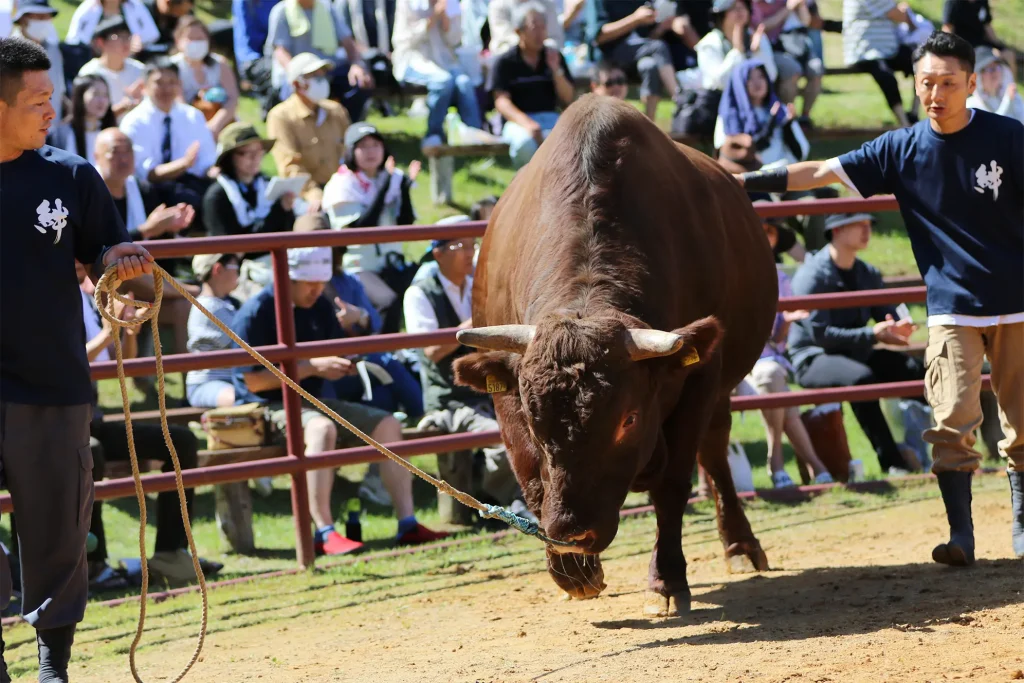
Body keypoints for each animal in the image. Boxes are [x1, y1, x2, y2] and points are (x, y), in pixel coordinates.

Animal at [454, 94, 774, 614]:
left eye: (628, 420)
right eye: (535, 422)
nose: (572, 533)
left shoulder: (700, 377)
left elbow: (673, 484)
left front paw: (666, 580)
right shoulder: (506, 396)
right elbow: (533, 480)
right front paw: (572, 570)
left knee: (714, 449)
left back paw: (740, 546)